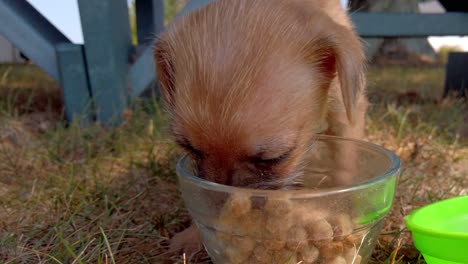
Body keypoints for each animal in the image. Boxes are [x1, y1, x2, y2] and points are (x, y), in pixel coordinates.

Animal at [155, 0, 368, 256]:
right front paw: (194, 234)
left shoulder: (345, 118)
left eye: (275, 158)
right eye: (189, 148)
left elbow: (342, 168)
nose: (223, 207)